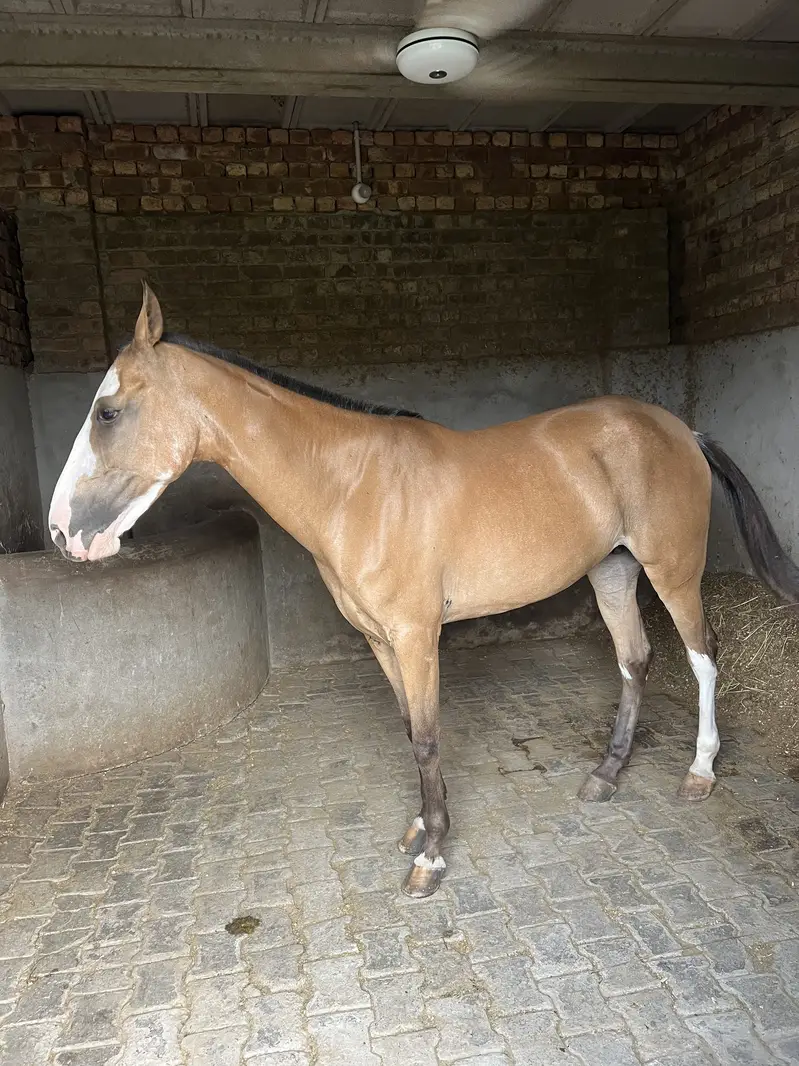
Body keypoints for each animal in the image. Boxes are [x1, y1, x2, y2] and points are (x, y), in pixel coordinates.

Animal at [49, 284, 799, 898]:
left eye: (108, 412)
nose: (61, 532)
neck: (355, 486)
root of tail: (681, 429)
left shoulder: (416, 637)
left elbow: (429, 739)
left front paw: (431, 858)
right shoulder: (381, 640)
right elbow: (411, 730)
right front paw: (420, 827)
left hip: (672, 570)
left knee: (702, 656)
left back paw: (700, 771)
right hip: (611, 569)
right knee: (634, 659)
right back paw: (607, 775)